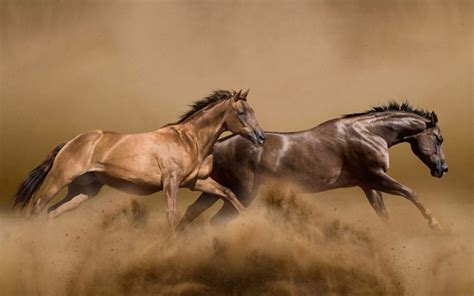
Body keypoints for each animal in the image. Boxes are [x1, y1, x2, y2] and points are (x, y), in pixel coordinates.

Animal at [13, 89, 266, 232]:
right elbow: (170, 212)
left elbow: (228, 193)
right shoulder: (171, 182)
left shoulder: (196, 182)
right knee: (37, 208)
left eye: (252, 110)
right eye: (241, 112)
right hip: (59, 180)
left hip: (84, 191)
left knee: (53, 211)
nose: (261, 137)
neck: (189, 139)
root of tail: (69, 143)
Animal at [178, 102, 448, 231]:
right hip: (243, 193)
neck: (369, 133)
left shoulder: (368, 184)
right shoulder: (376, 177)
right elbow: (410, 193)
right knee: (215, 221)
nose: (442, 169)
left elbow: (383, 213)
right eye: (439, 138)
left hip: (218, 190)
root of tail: (218, 145)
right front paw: (434, 224)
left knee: (191, 213)